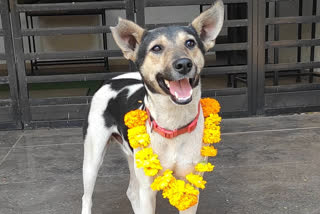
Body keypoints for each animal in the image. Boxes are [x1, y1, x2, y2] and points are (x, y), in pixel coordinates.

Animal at [81, 0, 224, 213]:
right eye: (156, 48)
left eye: (190, 43)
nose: (184, 64)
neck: (173, 123)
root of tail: (111, 81)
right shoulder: (148, 188)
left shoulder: (191, 185)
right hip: (93, 156)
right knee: (87, 196)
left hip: (132, 156)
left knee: (131, 191)